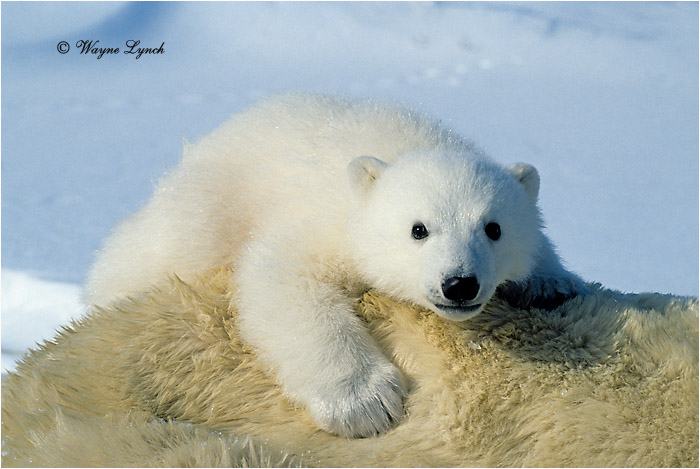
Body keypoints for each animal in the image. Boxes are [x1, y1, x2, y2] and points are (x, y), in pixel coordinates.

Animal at [85, 93, 587, 438]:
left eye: (494, 228)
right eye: (418, 229)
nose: (459, 284)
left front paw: (551, 282)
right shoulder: (325, 224)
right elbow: (283, 279)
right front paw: (364, 402)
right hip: (206, 207)